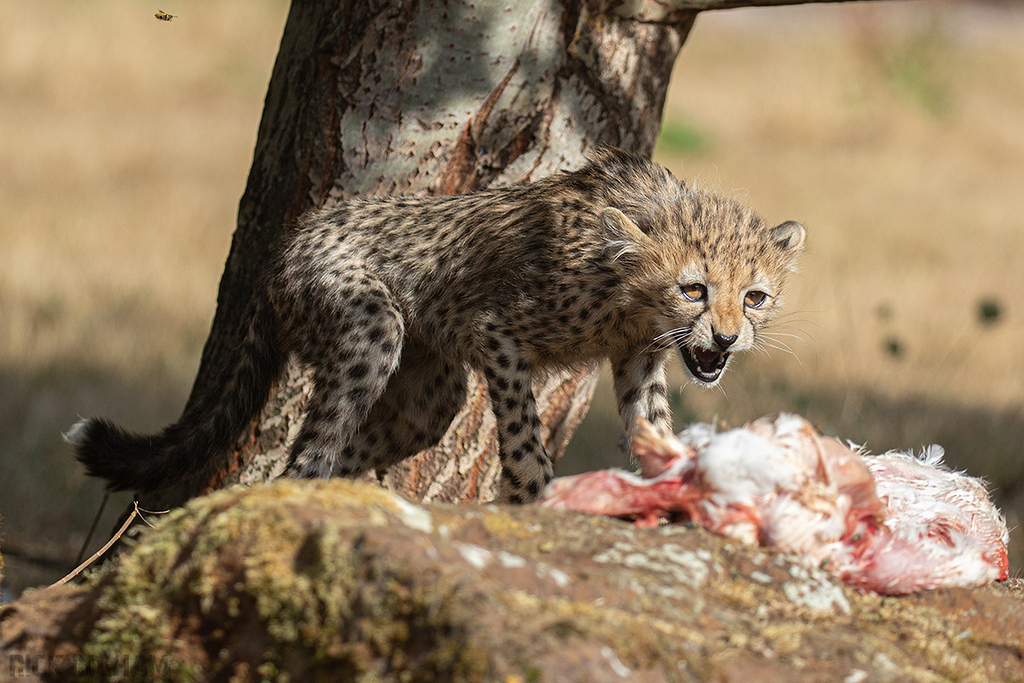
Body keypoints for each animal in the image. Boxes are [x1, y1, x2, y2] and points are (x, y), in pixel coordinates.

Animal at [67, 147, 805, 504]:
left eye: (756, 297)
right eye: (693, 289)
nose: (727, 339)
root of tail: (294, 235)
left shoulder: (638, 360)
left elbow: (653, 428)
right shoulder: (495, 331)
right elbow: (523, 435)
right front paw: (532, 496)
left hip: (430, 394)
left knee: (353, 450)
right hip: (372, 328)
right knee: (308, 455)